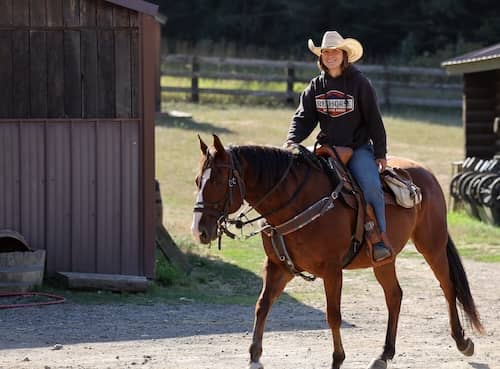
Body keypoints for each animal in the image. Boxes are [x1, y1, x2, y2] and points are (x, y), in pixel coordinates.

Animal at [192, 134, 484, 368]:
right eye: (197, 181)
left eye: (218, 180)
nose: (200, 230)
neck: (297, 201)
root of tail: (426, 174)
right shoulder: (279, 266)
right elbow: (262, 305)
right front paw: (254, 356)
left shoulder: (332, 271)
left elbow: (333, 316)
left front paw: (337, 358)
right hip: (384, 259)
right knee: (394, 295)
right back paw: (384, 354)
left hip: (431, 246)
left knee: (448, 286)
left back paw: (462, 341)